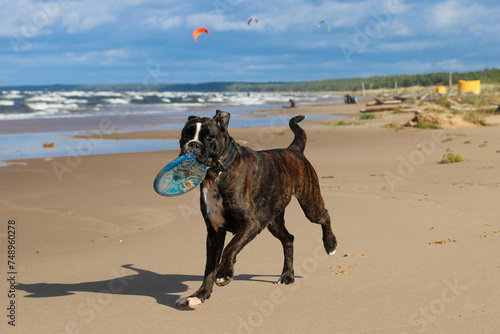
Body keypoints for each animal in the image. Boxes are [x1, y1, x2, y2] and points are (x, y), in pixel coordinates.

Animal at [175, 110, 336, 308]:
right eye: (185, 135)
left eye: (209, 137)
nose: (193, 144)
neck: (218, 172)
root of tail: (293, 150)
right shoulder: (214, 233)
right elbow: (209, 267)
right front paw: (200, 294)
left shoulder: (251, 223)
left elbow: (230, 247)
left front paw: (225, 273)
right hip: (273, 221)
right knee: (288, 239)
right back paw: (287, 275)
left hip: (310, 205)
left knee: (324, 216)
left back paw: (330, 244)